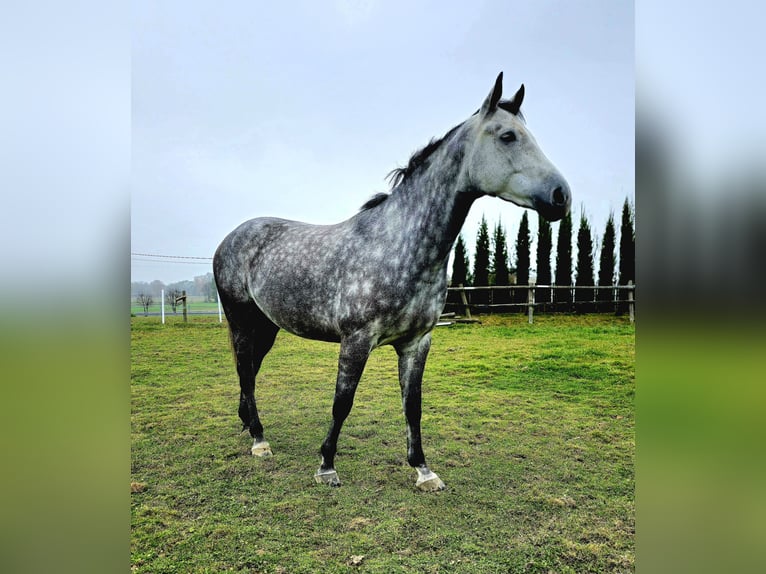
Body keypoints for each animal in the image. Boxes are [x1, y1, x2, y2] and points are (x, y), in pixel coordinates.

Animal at [213, 72, 571, 491]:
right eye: (507, 136)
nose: (561, 196)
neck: (397, 244)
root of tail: (232, 237)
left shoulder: (417, 343)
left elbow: (412, 406)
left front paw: (423, 470)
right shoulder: (356, 340)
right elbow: (342, 402)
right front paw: (326, 465)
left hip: (267, 326)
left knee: (250, 371)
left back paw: (248, 425)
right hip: (242, 321)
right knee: (245, 371)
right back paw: (259, 440)